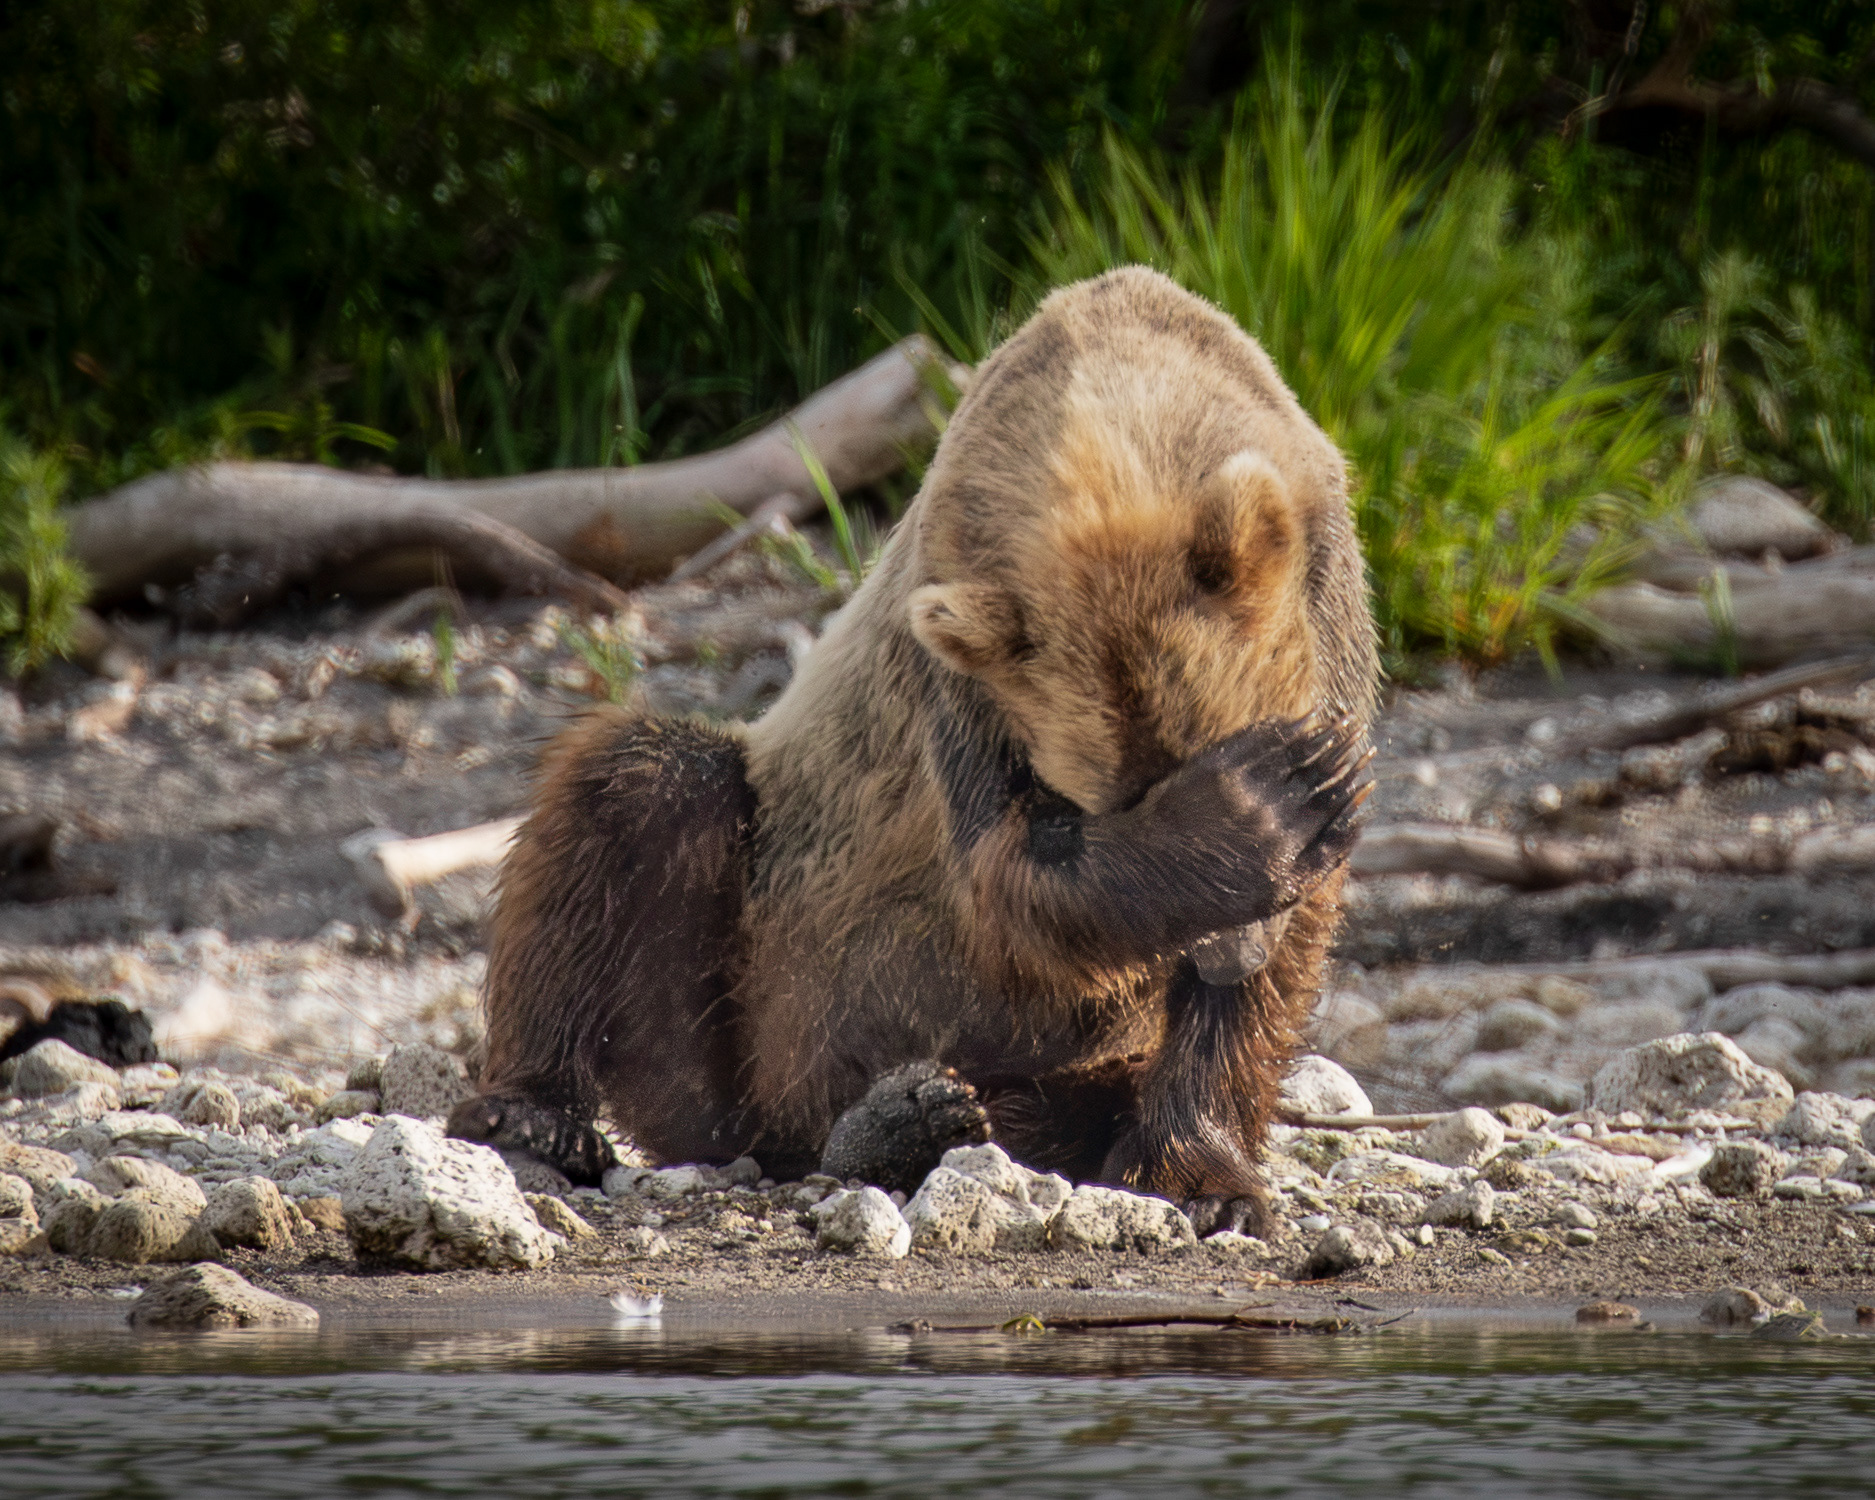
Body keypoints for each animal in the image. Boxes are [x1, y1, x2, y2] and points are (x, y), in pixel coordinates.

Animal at [447, 266, 1379, 1234]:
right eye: (1102, 796)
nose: (1223, 956)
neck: (1106, 413)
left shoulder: (1327, 583)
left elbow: (1295, 919)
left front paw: (1206, 1182)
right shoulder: (960, 669)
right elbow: (1009, 888)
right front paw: (1246, 819)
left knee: (1062, 1094)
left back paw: (909, 1120)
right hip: (742, 990)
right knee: (641, 788)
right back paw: (539, 1114)